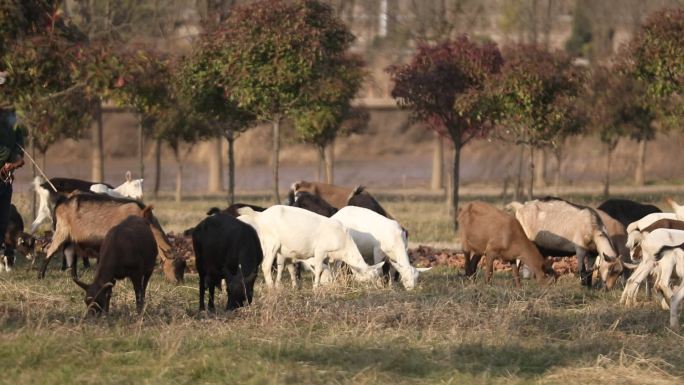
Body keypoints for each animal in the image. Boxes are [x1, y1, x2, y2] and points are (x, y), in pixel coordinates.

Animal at [39, 194, 184, 280]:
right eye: (175, 265)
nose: (178, 282)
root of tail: (61, 203)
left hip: (72, 238)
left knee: (71, 255)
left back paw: (75, 277)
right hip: (61, 231)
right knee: (49, 251)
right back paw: (40, 276)